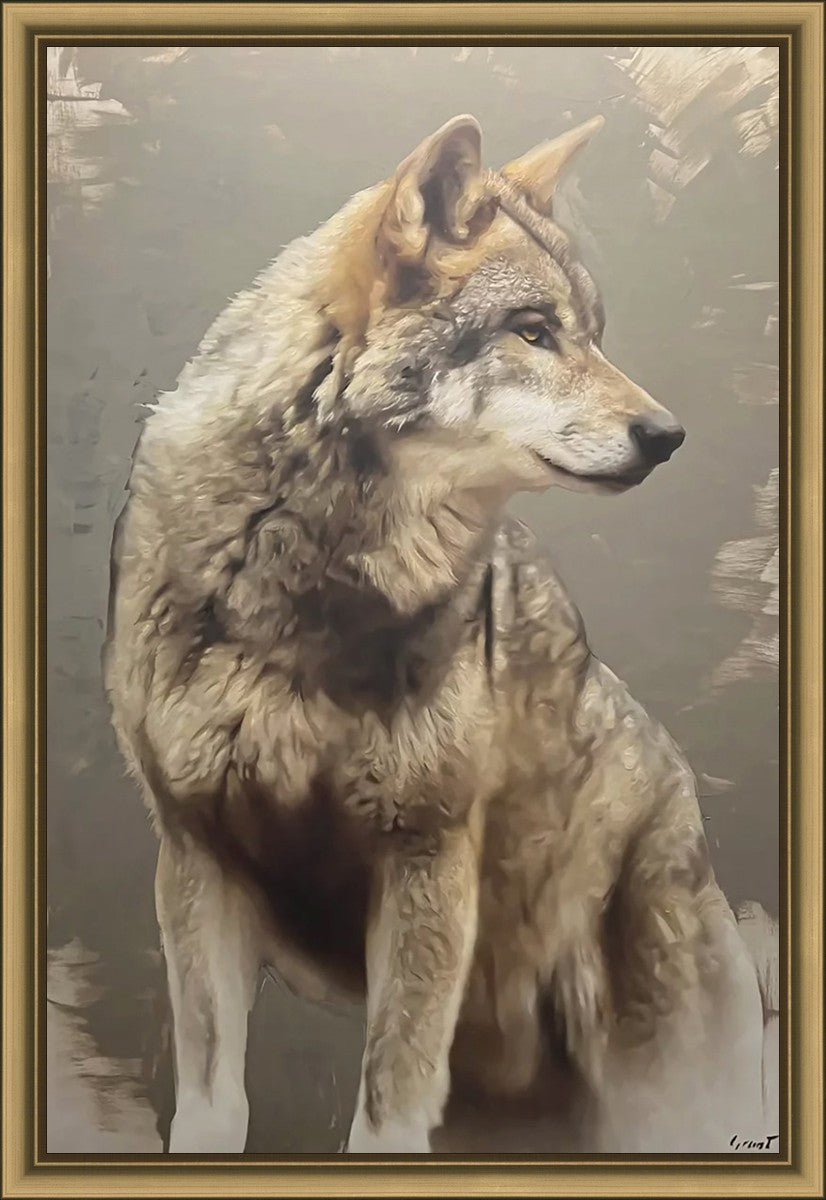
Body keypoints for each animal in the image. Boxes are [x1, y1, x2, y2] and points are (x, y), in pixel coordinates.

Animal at [104, 114, 776, 1154]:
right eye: (534, 331)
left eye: (593, 334)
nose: (668, 436)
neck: (302, 590)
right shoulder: (196, 859)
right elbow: (216, 1107)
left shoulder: (427, 862)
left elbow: (385, 1114)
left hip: (658, 1093)